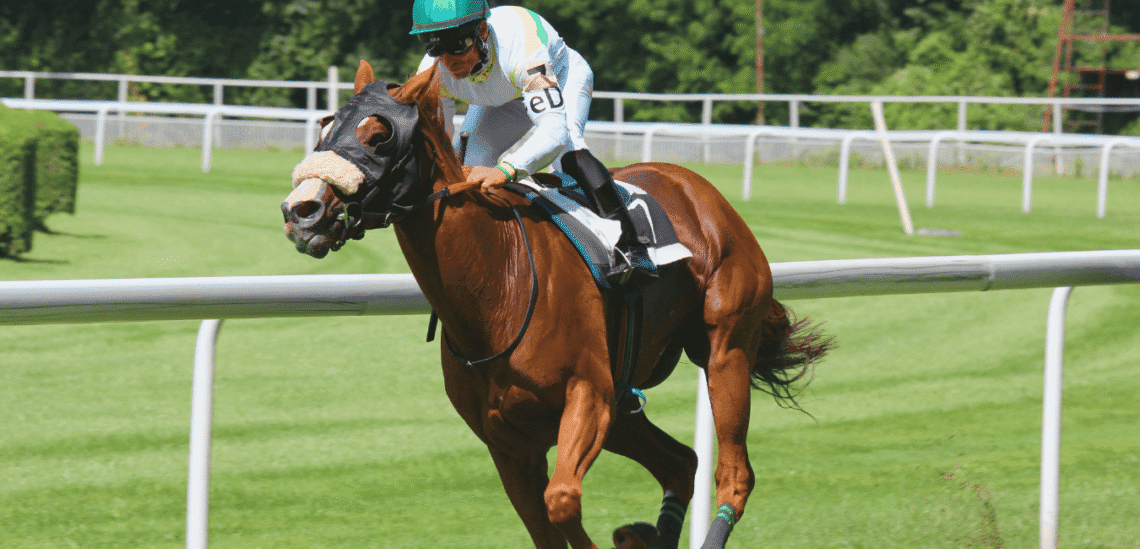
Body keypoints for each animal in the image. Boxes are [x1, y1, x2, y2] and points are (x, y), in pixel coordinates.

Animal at [281, 60, 831, 549]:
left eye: (379, 136)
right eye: (327, 127)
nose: (301, 211)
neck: (499, 287)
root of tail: (701, 190)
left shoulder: (588, 396)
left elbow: (562, 500)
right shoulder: (508, 441)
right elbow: (544, 524)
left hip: (724, 350)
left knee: (734, 475)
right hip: (626, 404)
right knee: (681, 462)